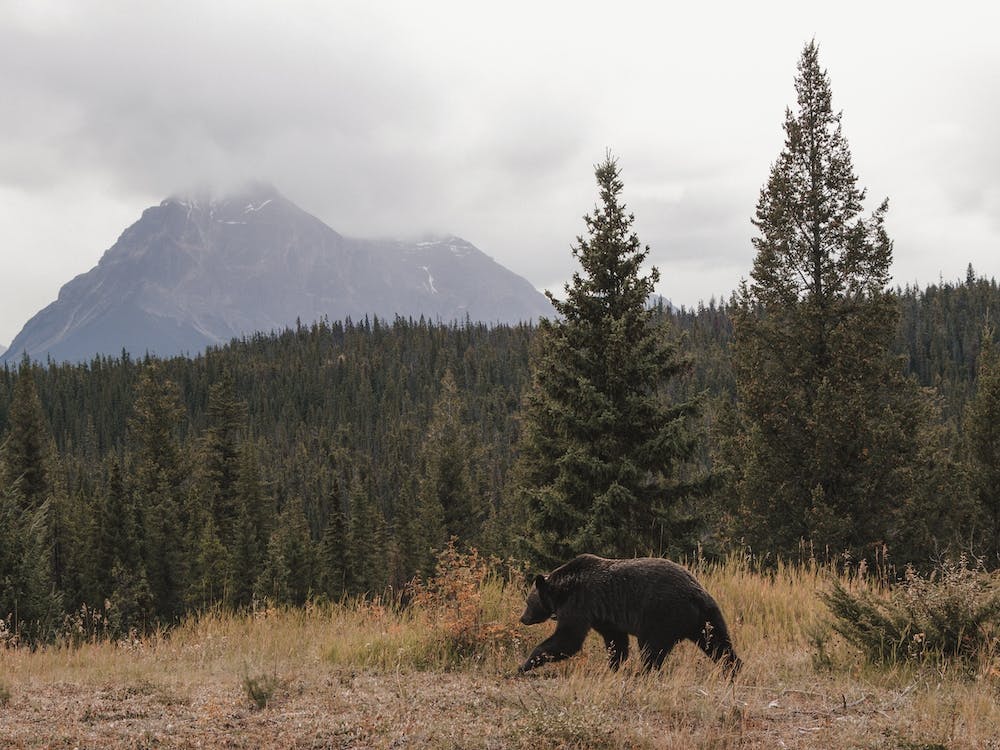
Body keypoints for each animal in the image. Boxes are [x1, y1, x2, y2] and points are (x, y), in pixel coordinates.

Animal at [518, 554, 741, 674]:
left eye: (528, 602)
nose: (523, 618)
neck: (563, 590)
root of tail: (694, 593)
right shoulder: (606, 618)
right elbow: (616, 642)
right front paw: (614, 665)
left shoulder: (580, 604)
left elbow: (567, 639)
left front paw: (524, 664)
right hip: (706, 617)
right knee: (718, 643)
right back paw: (733, 669)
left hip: (661, 616)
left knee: (651, 649)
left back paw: (644, 672)